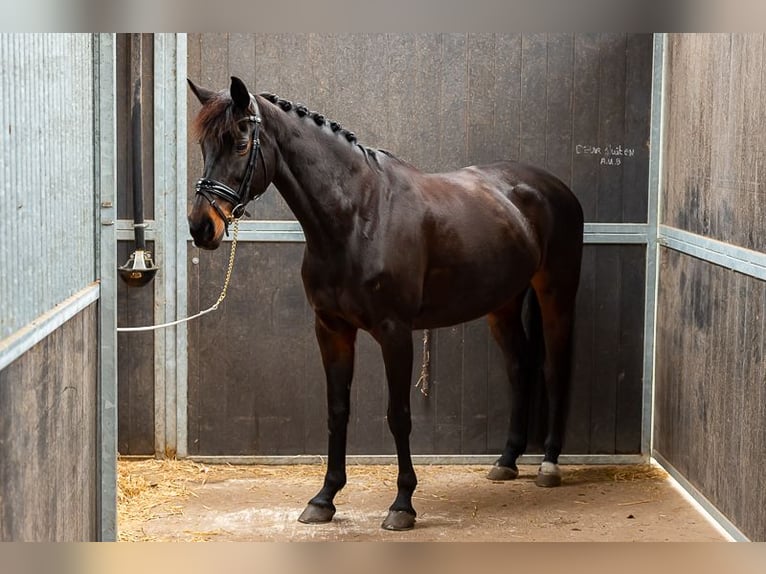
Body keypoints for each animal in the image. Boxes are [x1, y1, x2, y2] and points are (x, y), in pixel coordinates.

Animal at [189, 75, 584, 532]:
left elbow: (398, 415)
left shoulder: (395, 333)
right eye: (204, 146)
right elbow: (337, 410)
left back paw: (549, 465)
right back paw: (506, 461)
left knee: (555, 368)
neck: (359, 216)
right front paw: (324, 498)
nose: (201, 227)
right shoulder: (332, 329)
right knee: (520, 367)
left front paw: (402, 504)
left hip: (556, 293)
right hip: (502, 304)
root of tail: (552, 187)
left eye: (239, 142)